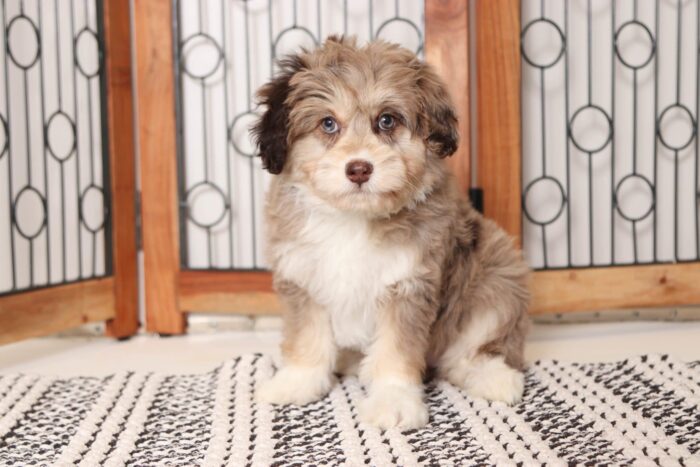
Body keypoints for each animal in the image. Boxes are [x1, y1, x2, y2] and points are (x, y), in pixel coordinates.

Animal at [254, 37, 528, 432]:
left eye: (387, 120)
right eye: (327, 123)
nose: (358, 169)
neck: (352, 218)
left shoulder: (409, 283)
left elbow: (396, 350)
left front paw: (393, 400)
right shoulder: (302, 276)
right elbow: (307, 335)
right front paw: (298, 381)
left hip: (496, 271)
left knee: (470, 348)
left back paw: (493, 377)